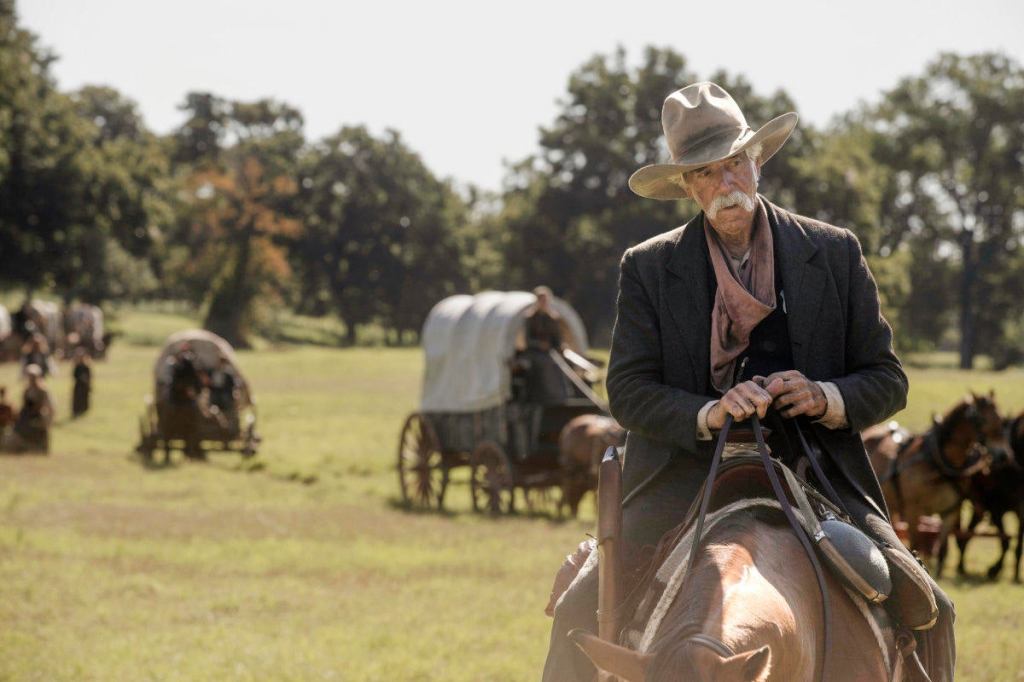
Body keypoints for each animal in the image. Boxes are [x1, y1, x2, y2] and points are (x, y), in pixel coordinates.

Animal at [864, 391, 1007, 577]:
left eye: (1001, 418)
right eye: (982, 419)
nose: (1003, 455)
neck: (938, 463)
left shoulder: (950, 512)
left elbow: (943, 549)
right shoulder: (913, 510)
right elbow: (915, 544)